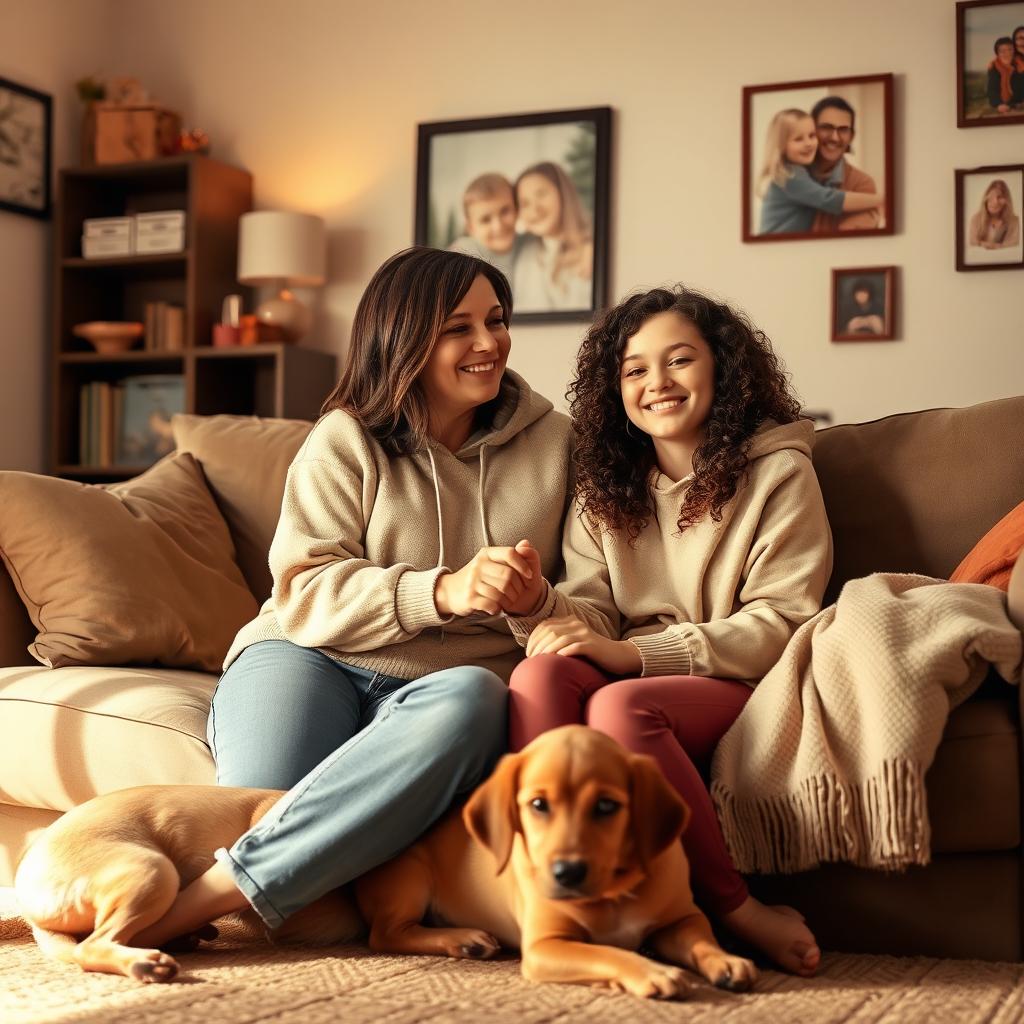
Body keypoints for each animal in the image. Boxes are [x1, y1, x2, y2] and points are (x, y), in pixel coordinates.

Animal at [356, 720, 757, 999]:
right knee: (387, 934)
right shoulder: (544, 946)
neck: (612, 893)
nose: (567, 873)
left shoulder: (682, 918)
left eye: (606, 806)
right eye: (538, 804)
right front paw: (651, 972)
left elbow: (701, 938)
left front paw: (725, 959)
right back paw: (465, 938)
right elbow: (606, 953)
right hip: (410, 876)